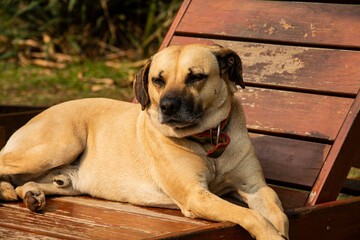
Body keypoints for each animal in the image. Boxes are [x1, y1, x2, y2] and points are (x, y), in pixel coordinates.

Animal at [0, 44, 286, 239]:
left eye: (196, 76)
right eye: (157, 80)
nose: (167, 107)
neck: (207, 138)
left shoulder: (255, 187)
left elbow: (277, 212)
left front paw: (280, 227)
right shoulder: (196, 196)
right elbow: (250, 215)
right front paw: (269, 233)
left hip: (66, 181)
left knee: (24, 183)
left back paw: (30, 194)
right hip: (60, 145)